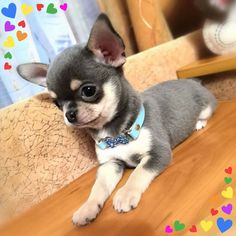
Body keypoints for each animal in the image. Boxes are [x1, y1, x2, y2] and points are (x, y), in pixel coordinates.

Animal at [17, 13, 218, 226]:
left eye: (88, 90)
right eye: (57, 104)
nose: (69, 114)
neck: (116, 134)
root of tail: (192, 82)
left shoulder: (158, 153)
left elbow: (138, 172)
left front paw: (126, 193)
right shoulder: (110, 164)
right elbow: (98, 187)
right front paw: (88, 207)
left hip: (206, 106)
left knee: (205, 114)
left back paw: (198, 123)